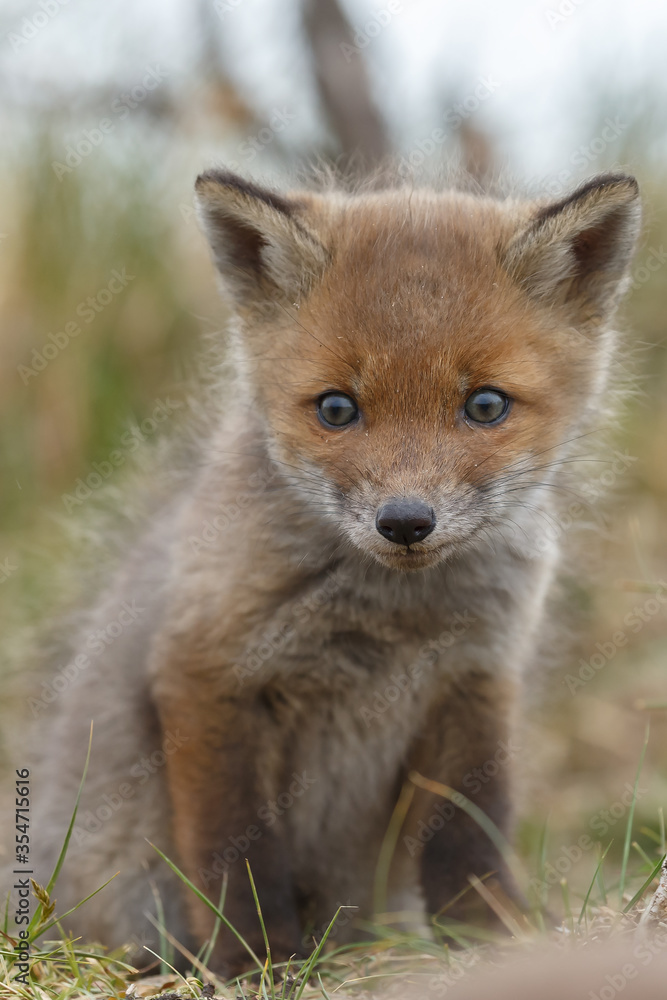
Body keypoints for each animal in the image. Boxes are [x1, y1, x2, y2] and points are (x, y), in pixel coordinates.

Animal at [22, 168, 641, 976]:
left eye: (484, 405)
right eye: (337, 409)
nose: (405, 521)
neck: (393, 623)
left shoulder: (475, 681)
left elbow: (471, 839)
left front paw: (496, 943)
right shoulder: (206, 671)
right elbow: (237, 853)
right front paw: (256, 963)